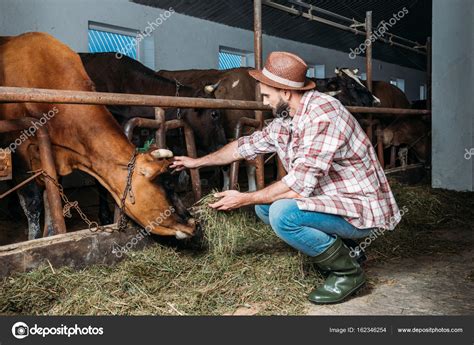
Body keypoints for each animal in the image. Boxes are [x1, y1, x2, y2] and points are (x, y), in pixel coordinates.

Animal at [0, 33, 198, 239]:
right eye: (166, 185)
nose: (193, 223)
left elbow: (50, 195)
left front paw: (51, 233)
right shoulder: (18, 147)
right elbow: (33, 201)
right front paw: (36, 238)